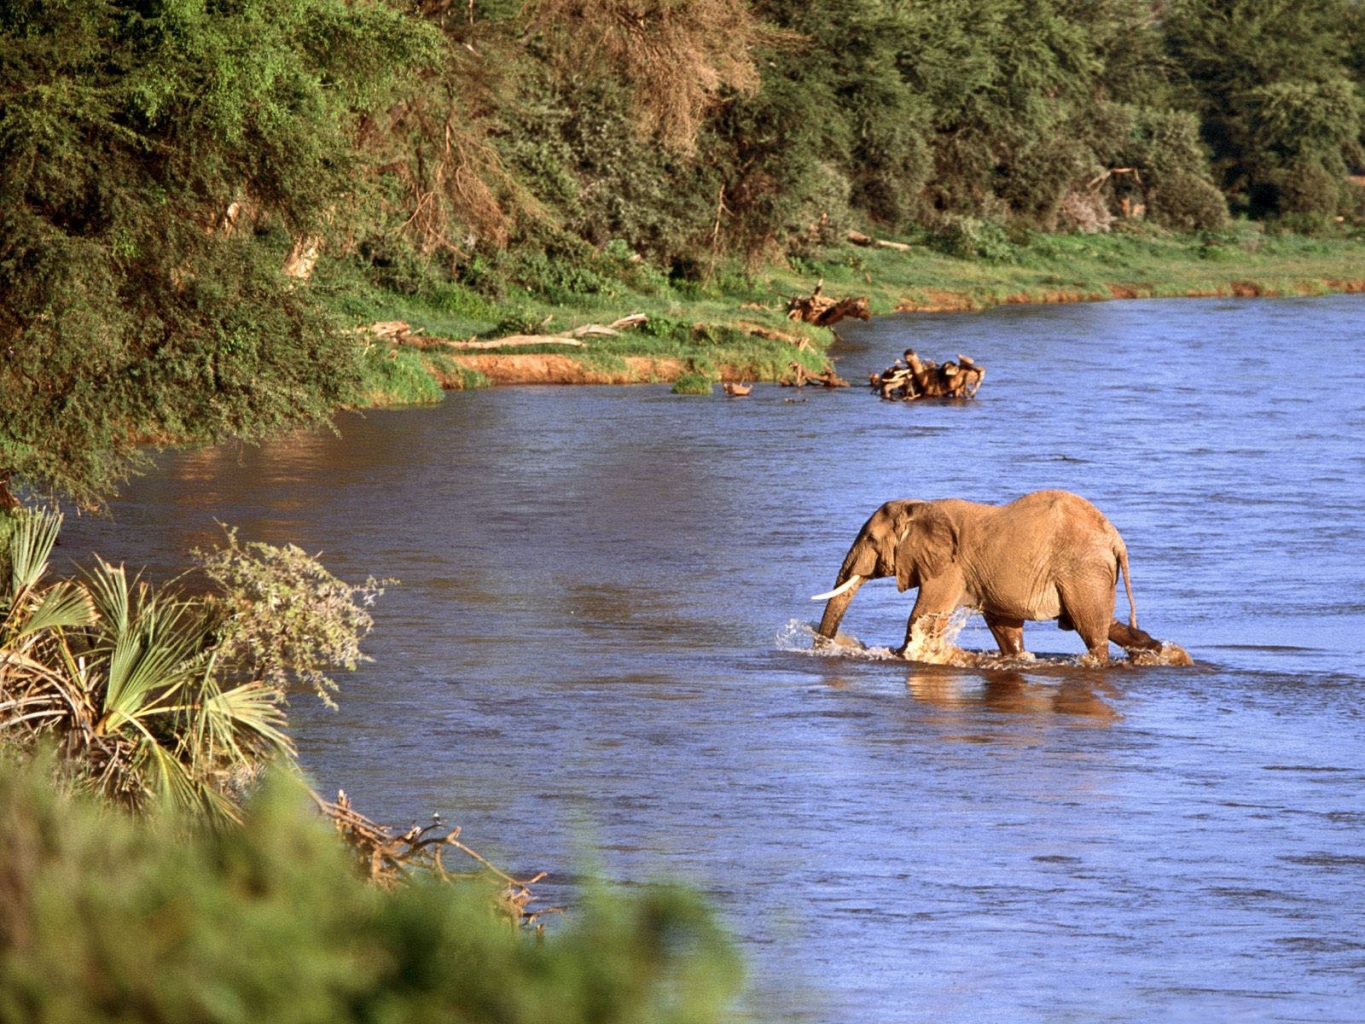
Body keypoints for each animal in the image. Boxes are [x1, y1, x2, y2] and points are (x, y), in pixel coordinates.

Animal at [813, 491, 1168, 666]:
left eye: (872, 540)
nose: (825, 649)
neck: (922, 506)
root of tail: (1116, 540)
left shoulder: (949, 568)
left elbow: (921, 619)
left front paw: (905, 656)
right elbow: (1004, 627)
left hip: (1083, 571)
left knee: (1091, 630)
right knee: (1102, 622)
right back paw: (1156, 651)